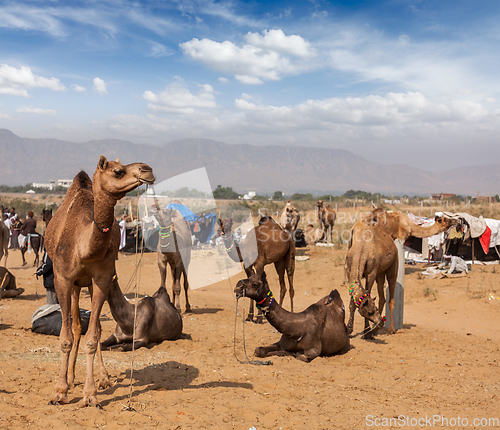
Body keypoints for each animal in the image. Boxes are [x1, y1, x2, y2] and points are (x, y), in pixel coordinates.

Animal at [44, 156, 154, 408]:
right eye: (118, 171)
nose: (147, 170)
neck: (84, 247)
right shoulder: (62, 279)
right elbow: (65, 337)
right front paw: (60, 391)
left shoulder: (103, 279)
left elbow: (94, 336)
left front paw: (91, 395)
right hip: (75, 285)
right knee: (75, 325)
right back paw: (70, 378)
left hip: (89, 284)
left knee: (93, 327)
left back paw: (102, 378)